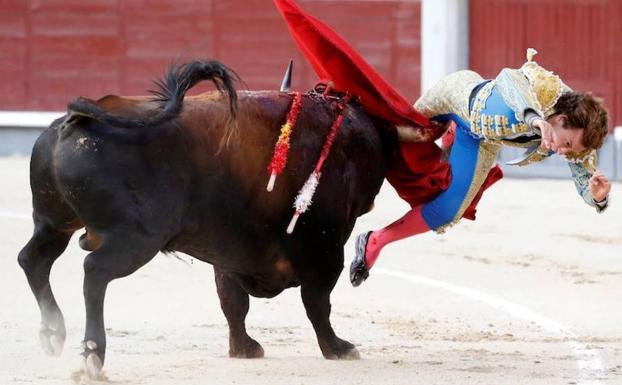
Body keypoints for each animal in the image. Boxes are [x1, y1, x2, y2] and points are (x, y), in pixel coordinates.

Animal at [19, 60, 398, 376]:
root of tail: (75, 121)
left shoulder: (228, 251)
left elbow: (232, 301)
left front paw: (244, 349)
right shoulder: (324, 248)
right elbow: (317, 302)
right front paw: (338, 348)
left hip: (54, 222)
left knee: (33, 259)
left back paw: (52, 332)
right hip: (136, 239)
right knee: (95, 271)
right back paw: (93, 355)